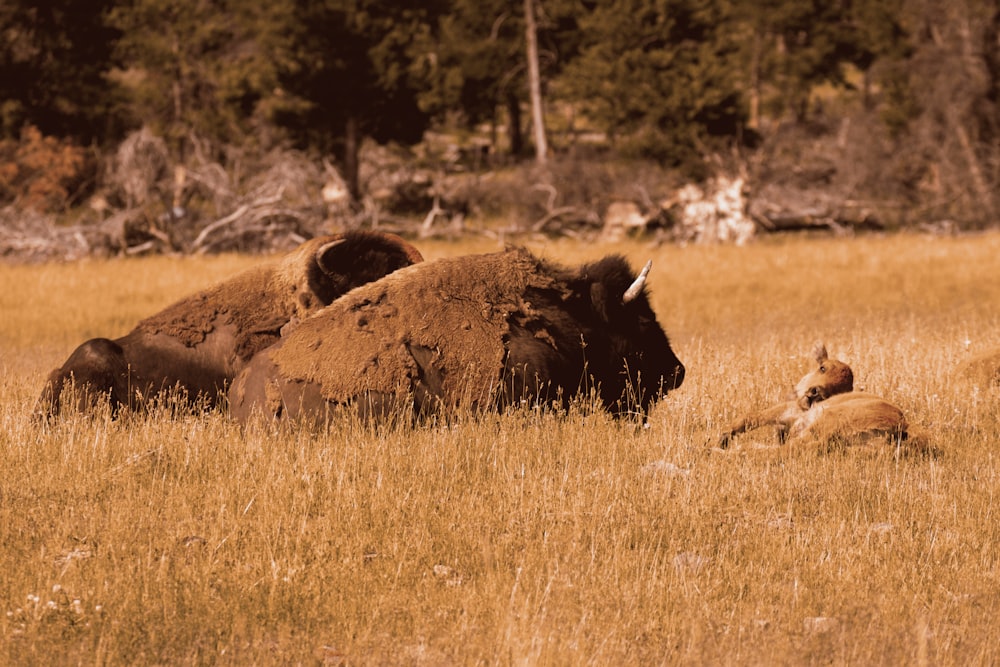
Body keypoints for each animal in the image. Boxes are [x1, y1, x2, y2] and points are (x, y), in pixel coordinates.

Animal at [716, 344, 924, 454]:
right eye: (822, 368)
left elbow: (753, 416)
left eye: (839, 389)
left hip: (825, 422)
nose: (815, 392)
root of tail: (902, 424)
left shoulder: (790, 410)